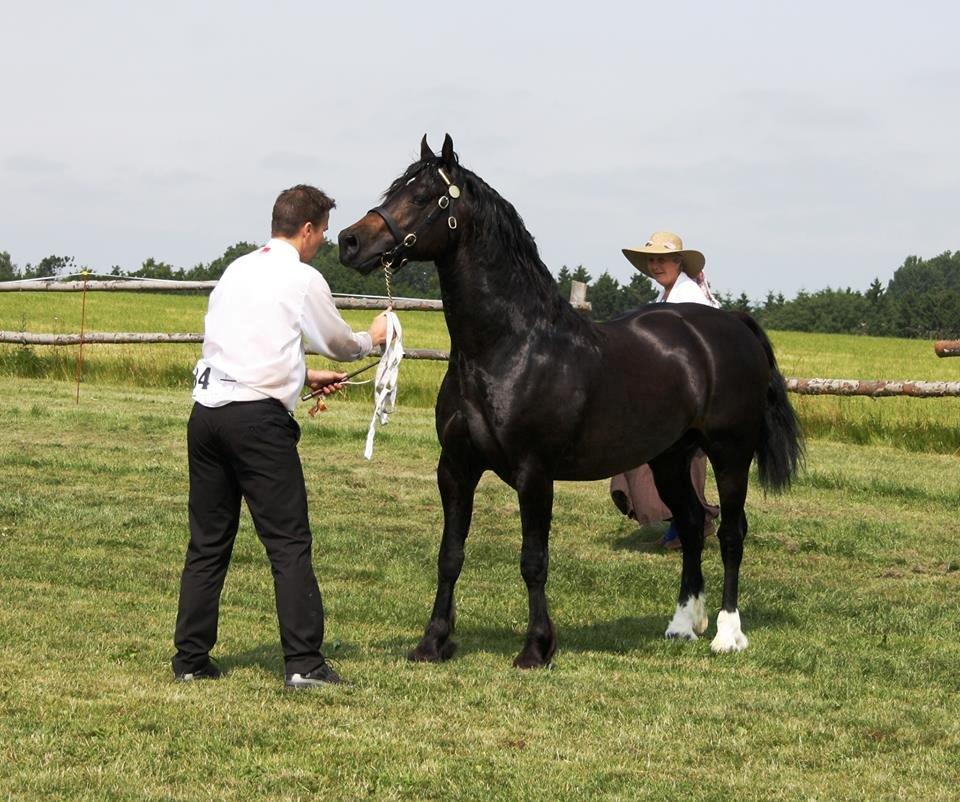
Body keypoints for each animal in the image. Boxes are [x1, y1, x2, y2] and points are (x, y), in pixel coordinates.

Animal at [340, 134, 804, 664]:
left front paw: (536, 648)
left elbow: (533, 560)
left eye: (422, 197)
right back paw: (682, 625)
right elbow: (449, 556)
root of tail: (733, 326)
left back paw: (727, 633)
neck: (510, 347)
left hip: (730, 454)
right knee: (689, 524)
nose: (349, 241)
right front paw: (433, 641)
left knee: (729, 532)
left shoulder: (534, 473)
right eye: (395, 188)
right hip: (669, 457)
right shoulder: (455, 468)